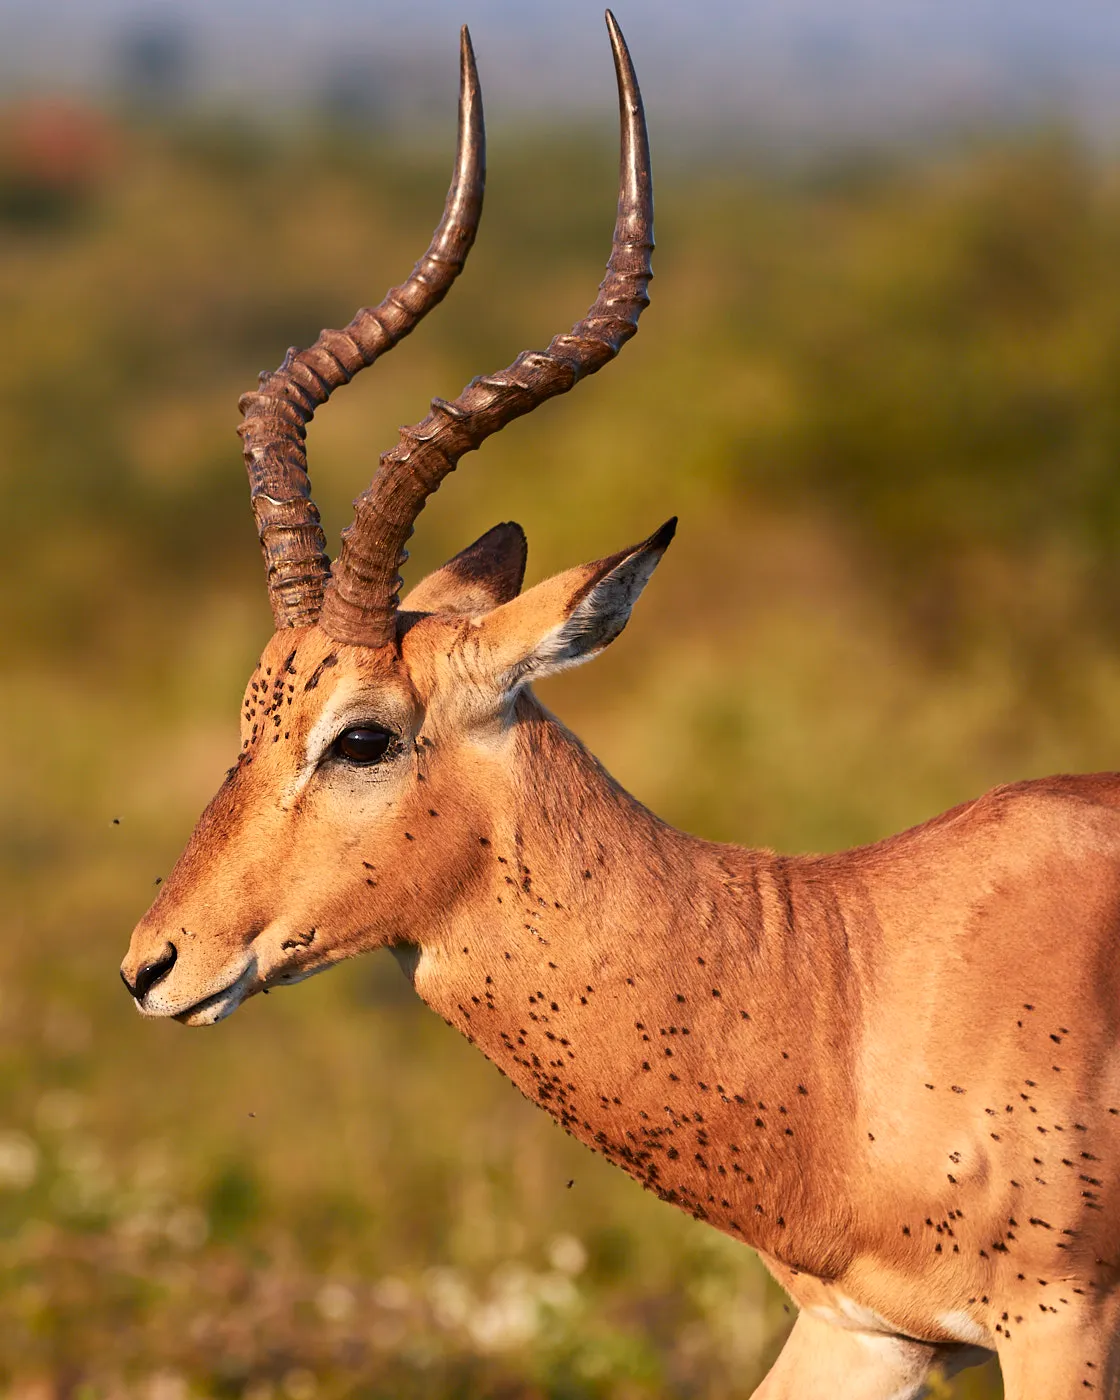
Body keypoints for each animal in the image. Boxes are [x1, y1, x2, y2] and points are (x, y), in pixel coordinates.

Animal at [119, 14, 1120, 1398]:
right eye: (249, 715)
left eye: (362, 733)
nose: (151, 965)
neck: (848, 982)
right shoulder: (869, 1325)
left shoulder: (1063, 1320)